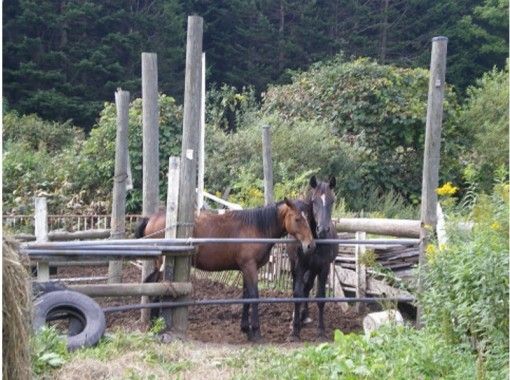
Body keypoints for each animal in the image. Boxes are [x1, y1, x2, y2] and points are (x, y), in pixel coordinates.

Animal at [137, 197, 316, 340]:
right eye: (298, 219)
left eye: (308, 218)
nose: (310, 245)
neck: (257, 227)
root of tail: (152, 218)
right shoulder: (249, 267)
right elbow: (254, 296)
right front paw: (256, 332)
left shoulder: (246, 269)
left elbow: (246, 296)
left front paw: (246, 329)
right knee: (156, 289)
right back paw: (157, 326)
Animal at [286, 177, 338, 340]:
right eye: (314, 201)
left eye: (332, 200)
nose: (322, 230)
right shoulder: (299, 266)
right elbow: (297, 293)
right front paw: (294, 331)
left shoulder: (323, 268)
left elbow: (320, 297)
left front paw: (321, 331)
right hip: (295, 266)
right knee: (300, 287)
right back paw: (297, 318)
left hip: (313, 269)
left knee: (307, 287)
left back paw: (304, 315)